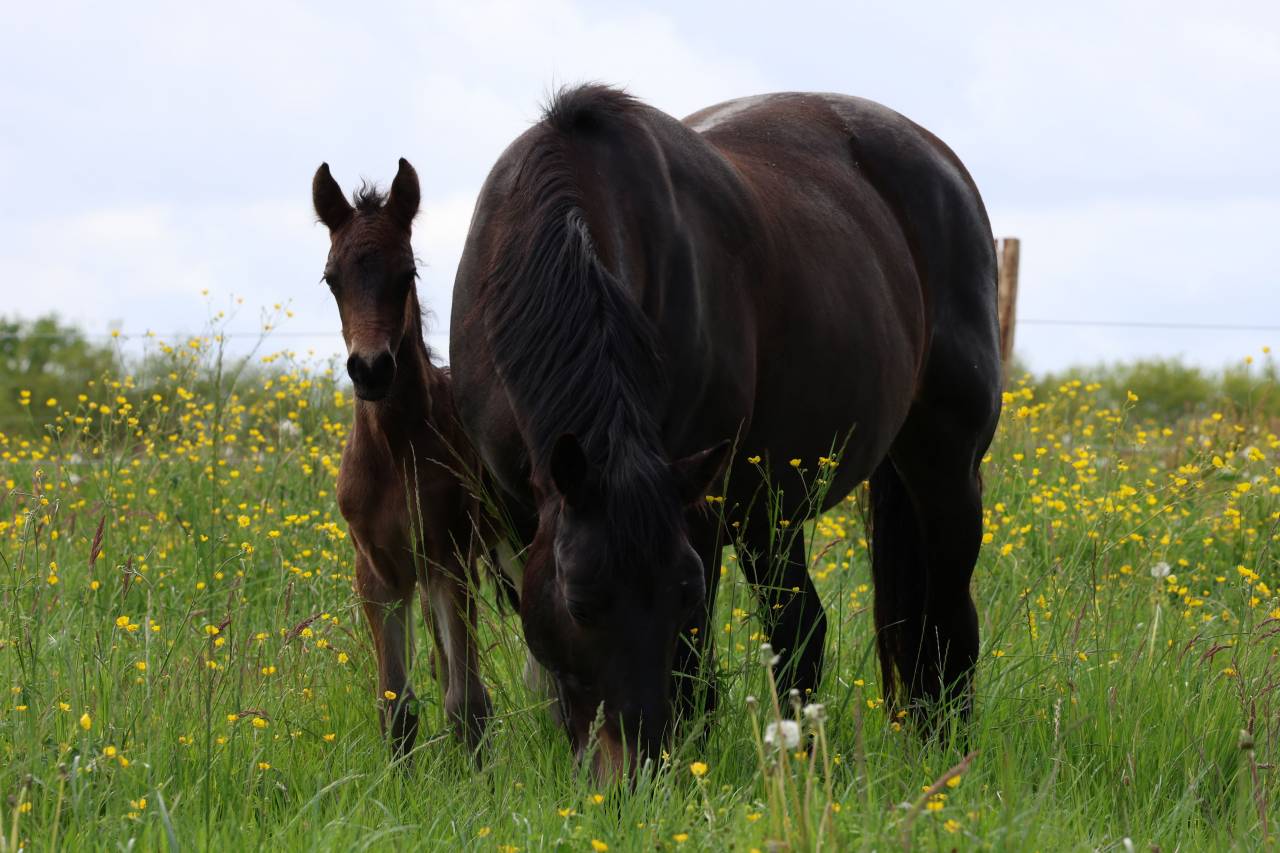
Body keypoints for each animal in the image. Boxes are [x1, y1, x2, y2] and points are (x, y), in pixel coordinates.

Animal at [313, 159, 495, 759]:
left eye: (407, 273)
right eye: (331, 278)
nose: (371, 369)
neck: (393, 453)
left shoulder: (448, 559)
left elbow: (467, 703)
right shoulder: (379, 574)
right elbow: (396, 704)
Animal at [449, 86, 1002, 779]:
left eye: (682, 595)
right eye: (578, 603)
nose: (630, 772)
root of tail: (941, 162)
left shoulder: (697, 514)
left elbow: (691, 673)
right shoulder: (529, 510)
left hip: (945, 468)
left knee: (947, 625)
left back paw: (942, 752)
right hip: (773, 506)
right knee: (802, 628)